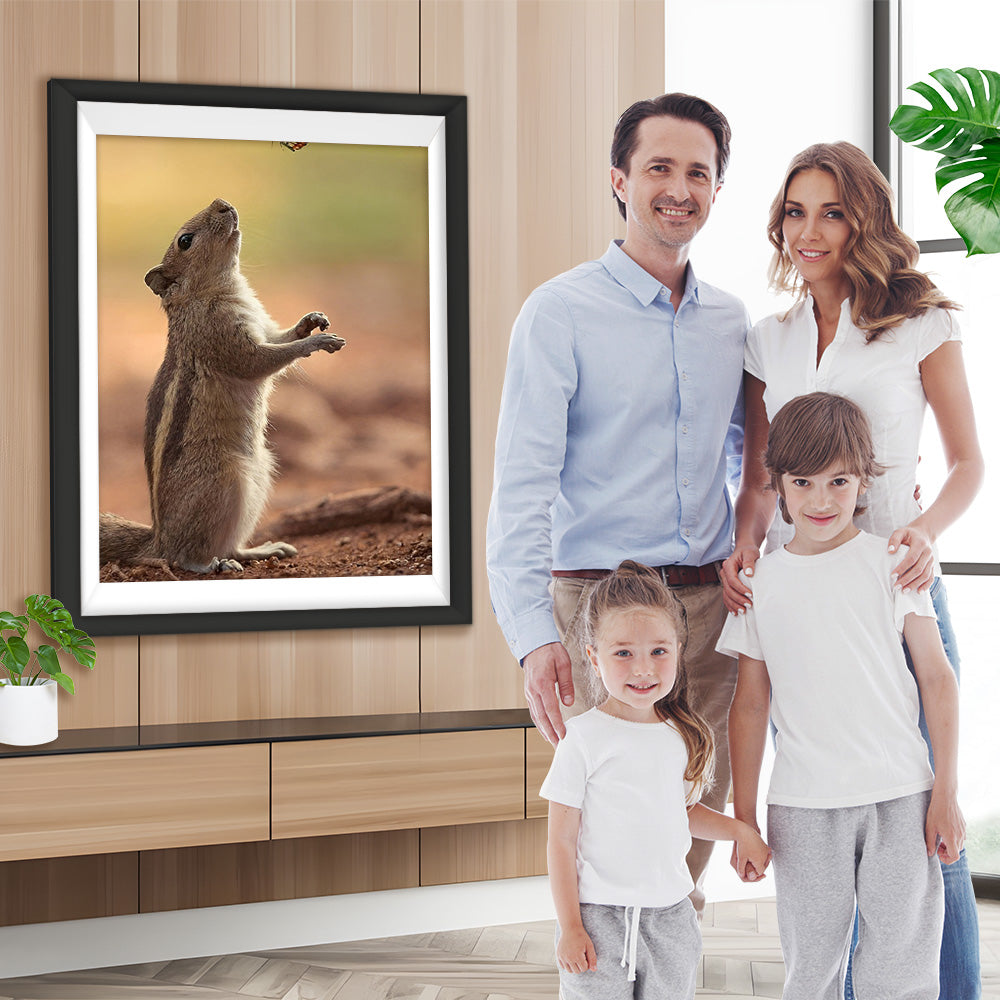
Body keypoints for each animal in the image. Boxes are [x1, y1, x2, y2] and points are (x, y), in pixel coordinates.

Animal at [99, 197, 346, 575]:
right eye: (185, 241)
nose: (222, 203)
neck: (220, 289)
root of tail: (158, 539)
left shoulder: (262, 326)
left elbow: (281, 337)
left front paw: (311, 321)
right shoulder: (227, 341)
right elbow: (262, 360)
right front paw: (318, 342)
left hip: (261, 476)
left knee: (231, 544)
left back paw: (262, 550)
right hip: (226, 482)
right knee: (183, 557)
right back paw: (213, 565)